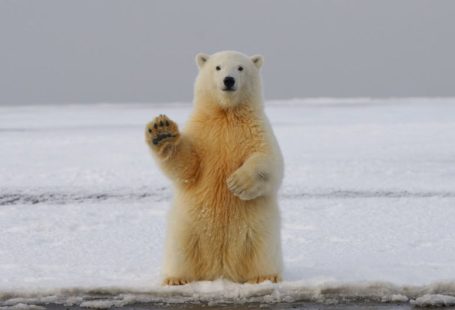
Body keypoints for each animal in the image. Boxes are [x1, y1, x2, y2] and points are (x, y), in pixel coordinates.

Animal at [145, 50, 284, 286]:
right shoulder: (202, 133)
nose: (229, 80)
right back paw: (176, 278)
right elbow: (188, 166)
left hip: (260, 228)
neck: (226, 114)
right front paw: (162, 132)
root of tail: (221, 270)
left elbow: (269, 160)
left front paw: (237, 183)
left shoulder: (256, 130)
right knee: (180, 250)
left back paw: (265, 276)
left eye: (240, 68)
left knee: (262, 250)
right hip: (187, 227)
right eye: (218, 67)